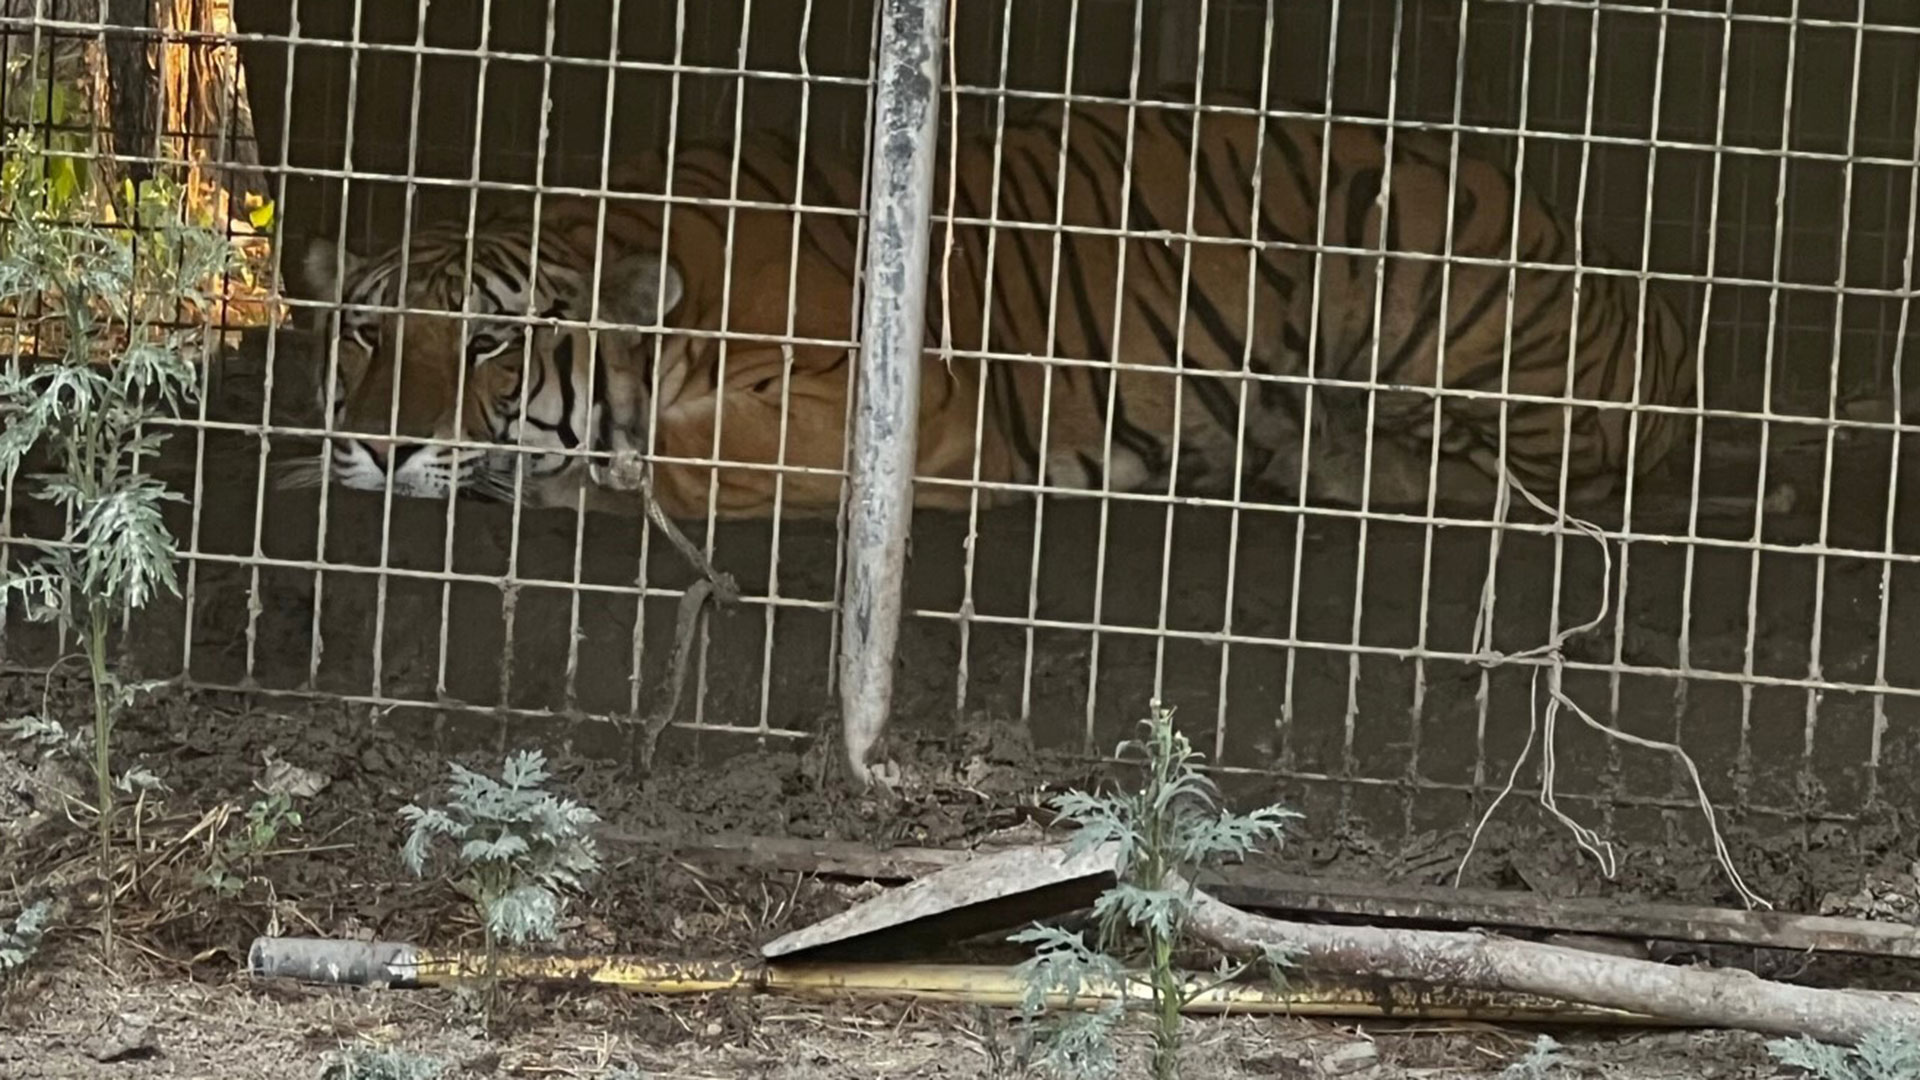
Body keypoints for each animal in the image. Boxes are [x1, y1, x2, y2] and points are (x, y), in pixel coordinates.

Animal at [288, 96, 1697, 522]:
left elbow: (698, 455)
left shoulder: (900, 404)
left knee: (1514, 486)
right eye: (366, 330)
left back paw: (1307, 458)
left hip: (1413, 246)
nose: (379, 445)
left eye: (488, 340)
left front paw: (582, 474)